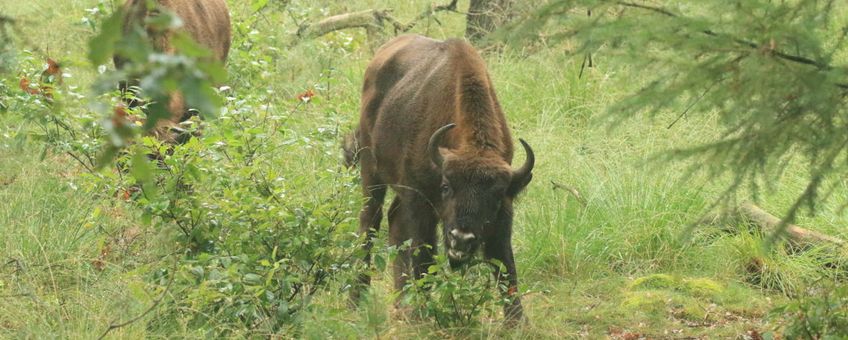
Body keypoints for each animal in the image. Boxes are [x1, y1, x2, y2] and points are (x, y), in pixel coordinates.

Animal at [346, 34, 536, 322]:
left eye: (494, 196)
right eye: (446, 187)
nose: (462, 238)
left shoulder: (504, 210)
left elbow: (504, 263)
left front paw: (515, 322)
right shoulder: (420, 202)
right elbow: (423, 256)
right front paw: (422, 315)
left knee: (394, 221)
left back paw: (400, 301)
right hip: (371, 170)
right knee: (370, 223)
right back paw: (356, 300)